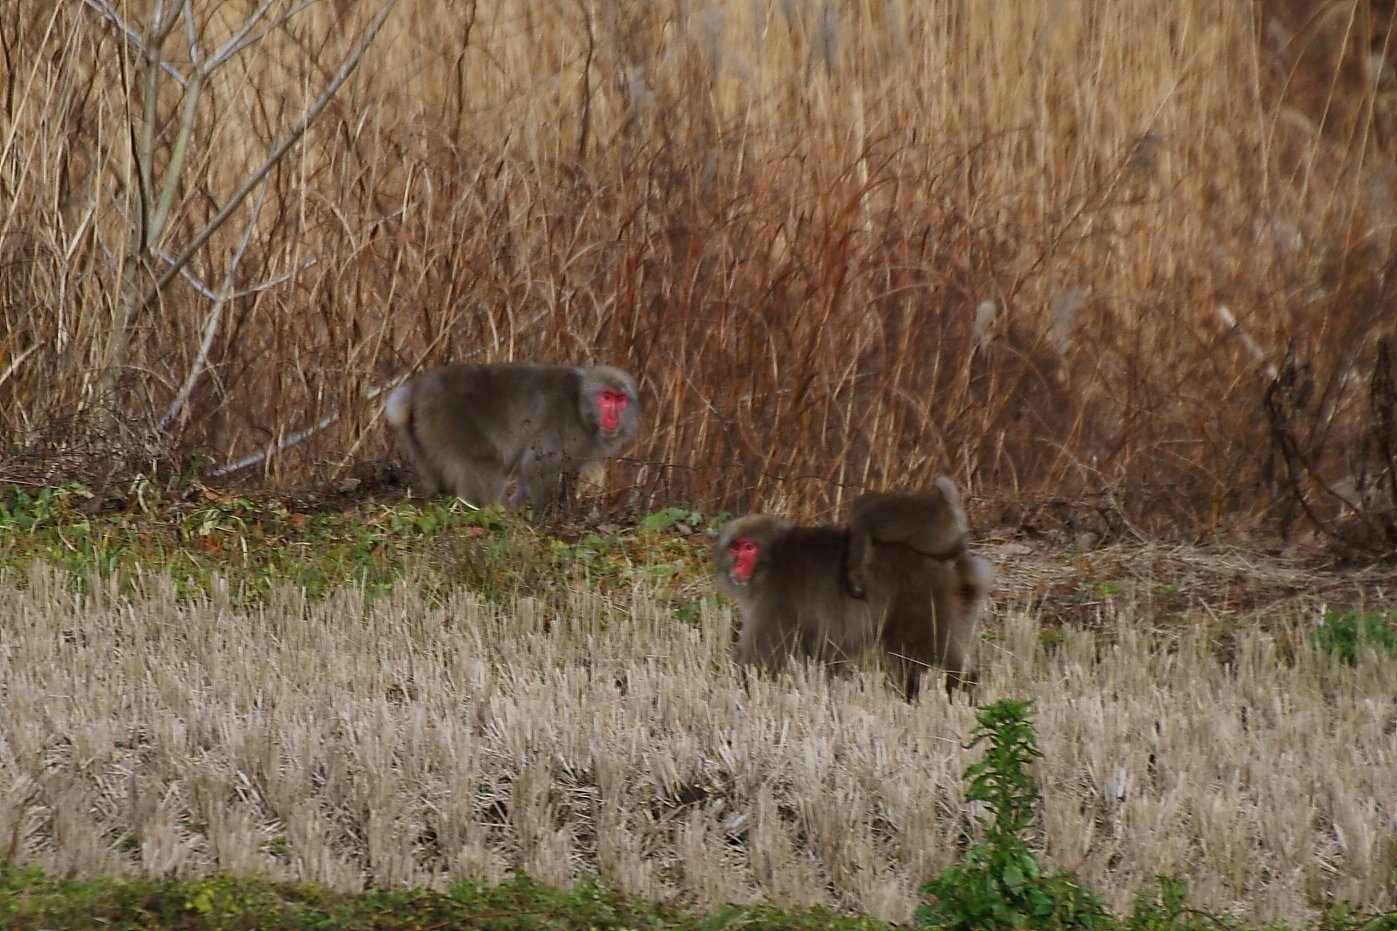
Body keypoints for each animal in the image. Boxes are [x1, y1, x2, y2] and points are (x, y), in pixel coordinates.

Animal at [384, 362, 640, 511]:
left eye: (620, 399)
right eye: (606, 397)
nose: (613, 416)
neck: (580, 404)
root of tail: (417, 388)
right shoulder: (566, 428)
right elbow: (536, 468)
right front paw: (539, 513)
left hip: (423, 431)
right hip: (449, 419)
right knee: (481, 462)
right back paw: (491, 509)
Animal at [714, 508, 992, 700]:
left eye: (749, 547)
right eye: (735, 547)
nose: (737, 564)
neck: (773, 559)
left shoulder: (775, 597)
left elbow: (762, 658)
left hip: (922, 599)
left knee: (929, 647)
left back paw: (962, 687)